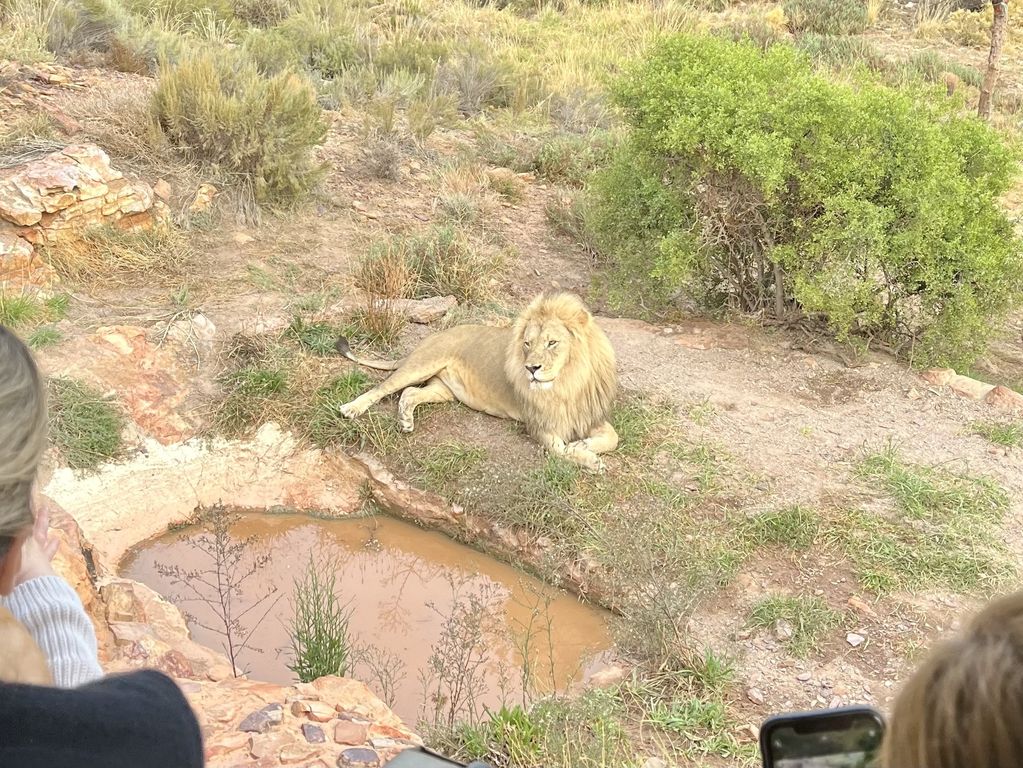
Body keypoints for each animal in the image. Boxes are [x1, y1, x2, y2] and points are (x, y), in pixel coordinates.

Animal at [335, 290, 617, 472]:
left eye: (552, 343)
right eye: (527, 344)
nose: (531, 368)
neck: (568, 383)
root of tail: (434, 336)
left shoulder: (588, 413)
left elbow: (613, 438)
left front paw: (584, 443)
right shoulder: (538, 424)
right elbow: (560, 449)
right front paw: (588, 458)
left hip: (443, 389)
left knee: (410, 393)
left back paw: (405, 420)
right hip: (422, 364)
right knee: (382, 387)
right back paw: (351, 408)